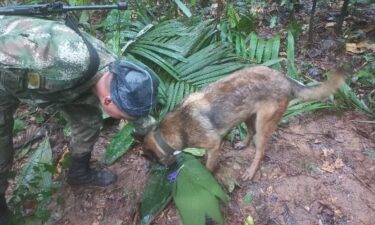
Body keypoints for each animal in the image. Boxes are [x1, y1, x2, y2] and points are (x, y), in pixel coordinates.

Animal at [142, 65, 346, 179]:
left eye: (154, 161)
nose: (166, 169)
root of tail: (285, 78)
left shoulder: (214, 145)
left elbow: (208, 166)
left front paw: (206, 176)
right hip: (248, 116)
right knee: (250, 132)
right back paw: (242, 144)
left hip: (263, 125)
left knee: (260, 151)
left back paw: (251, 171)